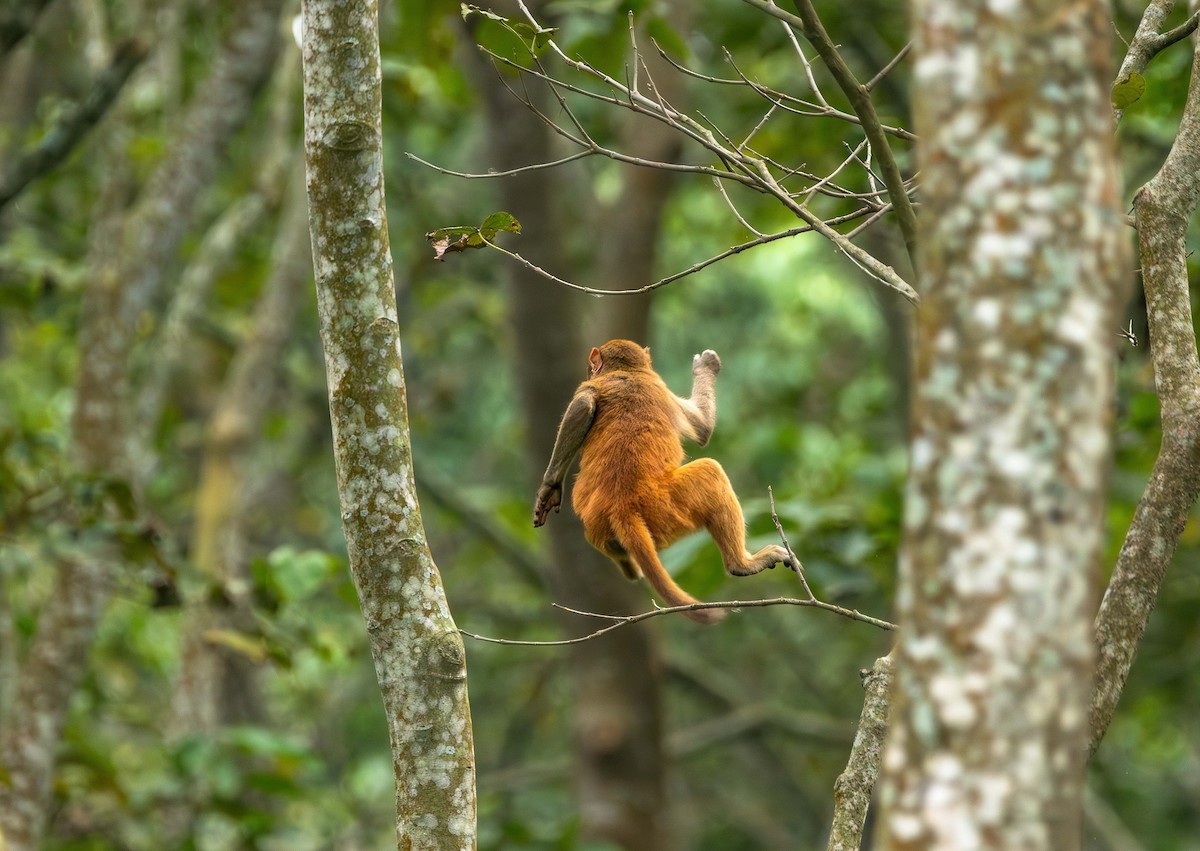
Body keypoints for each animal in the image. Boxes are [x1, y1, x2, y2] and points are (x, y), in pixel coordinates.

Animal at [533, 340, 792, 625]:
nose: (589, 370)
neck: (628, 371)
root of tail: (621, 504)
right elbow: (584, 406)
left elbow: (583, 406)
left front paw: (550, 488)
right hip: (658, 511)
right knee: (710, 471)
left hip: (638, 513)